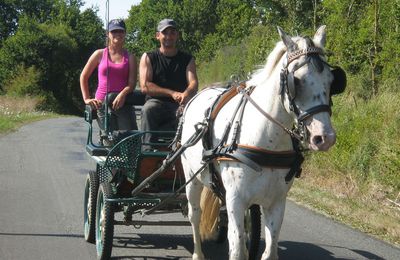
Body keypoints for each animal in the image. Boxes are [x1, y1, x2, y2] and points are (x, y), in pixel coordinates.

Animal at [181, 25, 340, 260]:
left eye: (331, 80)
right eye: (297, 80)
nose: (325, 137)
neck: (267, 140)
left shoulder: (277, 202)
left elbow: (270, 250)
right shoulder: (236, 201)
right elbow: (237, 249)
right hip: (192, 176)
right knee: (195, 215)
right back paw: (198, 254)